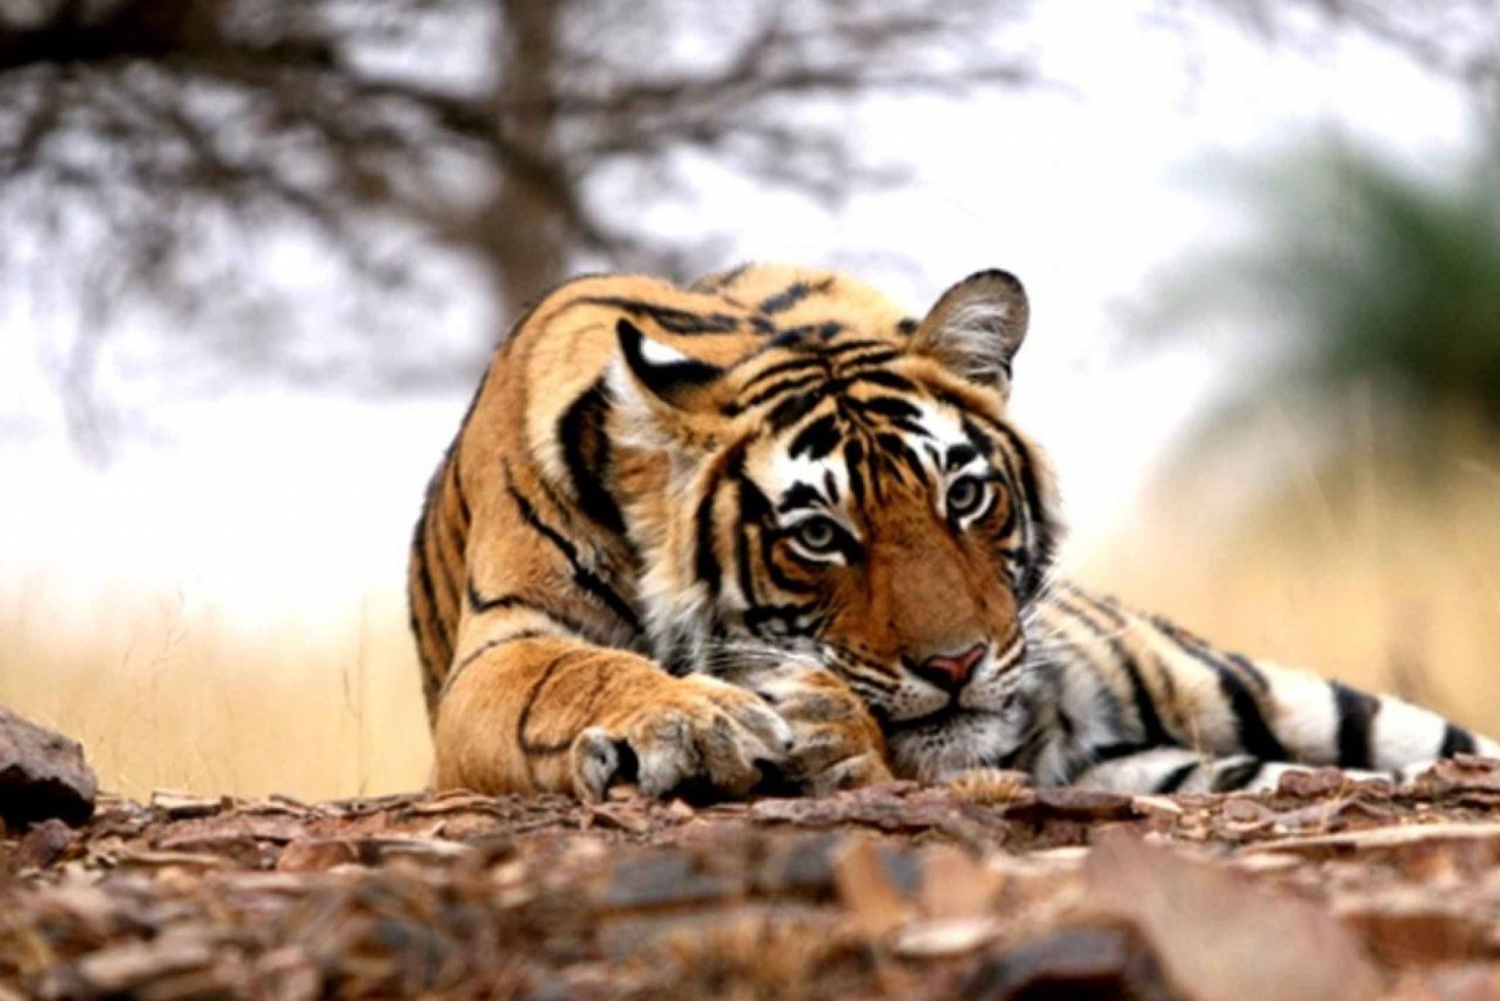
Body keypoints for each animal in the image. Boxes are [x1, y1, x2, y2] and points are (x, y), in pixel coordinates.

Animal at [408, 263, 1498, 801]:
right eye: (818, 535)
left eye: (966, 495)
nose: (958, 664)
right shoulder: (501, 650)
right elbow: (576, 674)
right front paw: (697, 720)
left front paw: (824, 733)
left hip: (1256, 689)